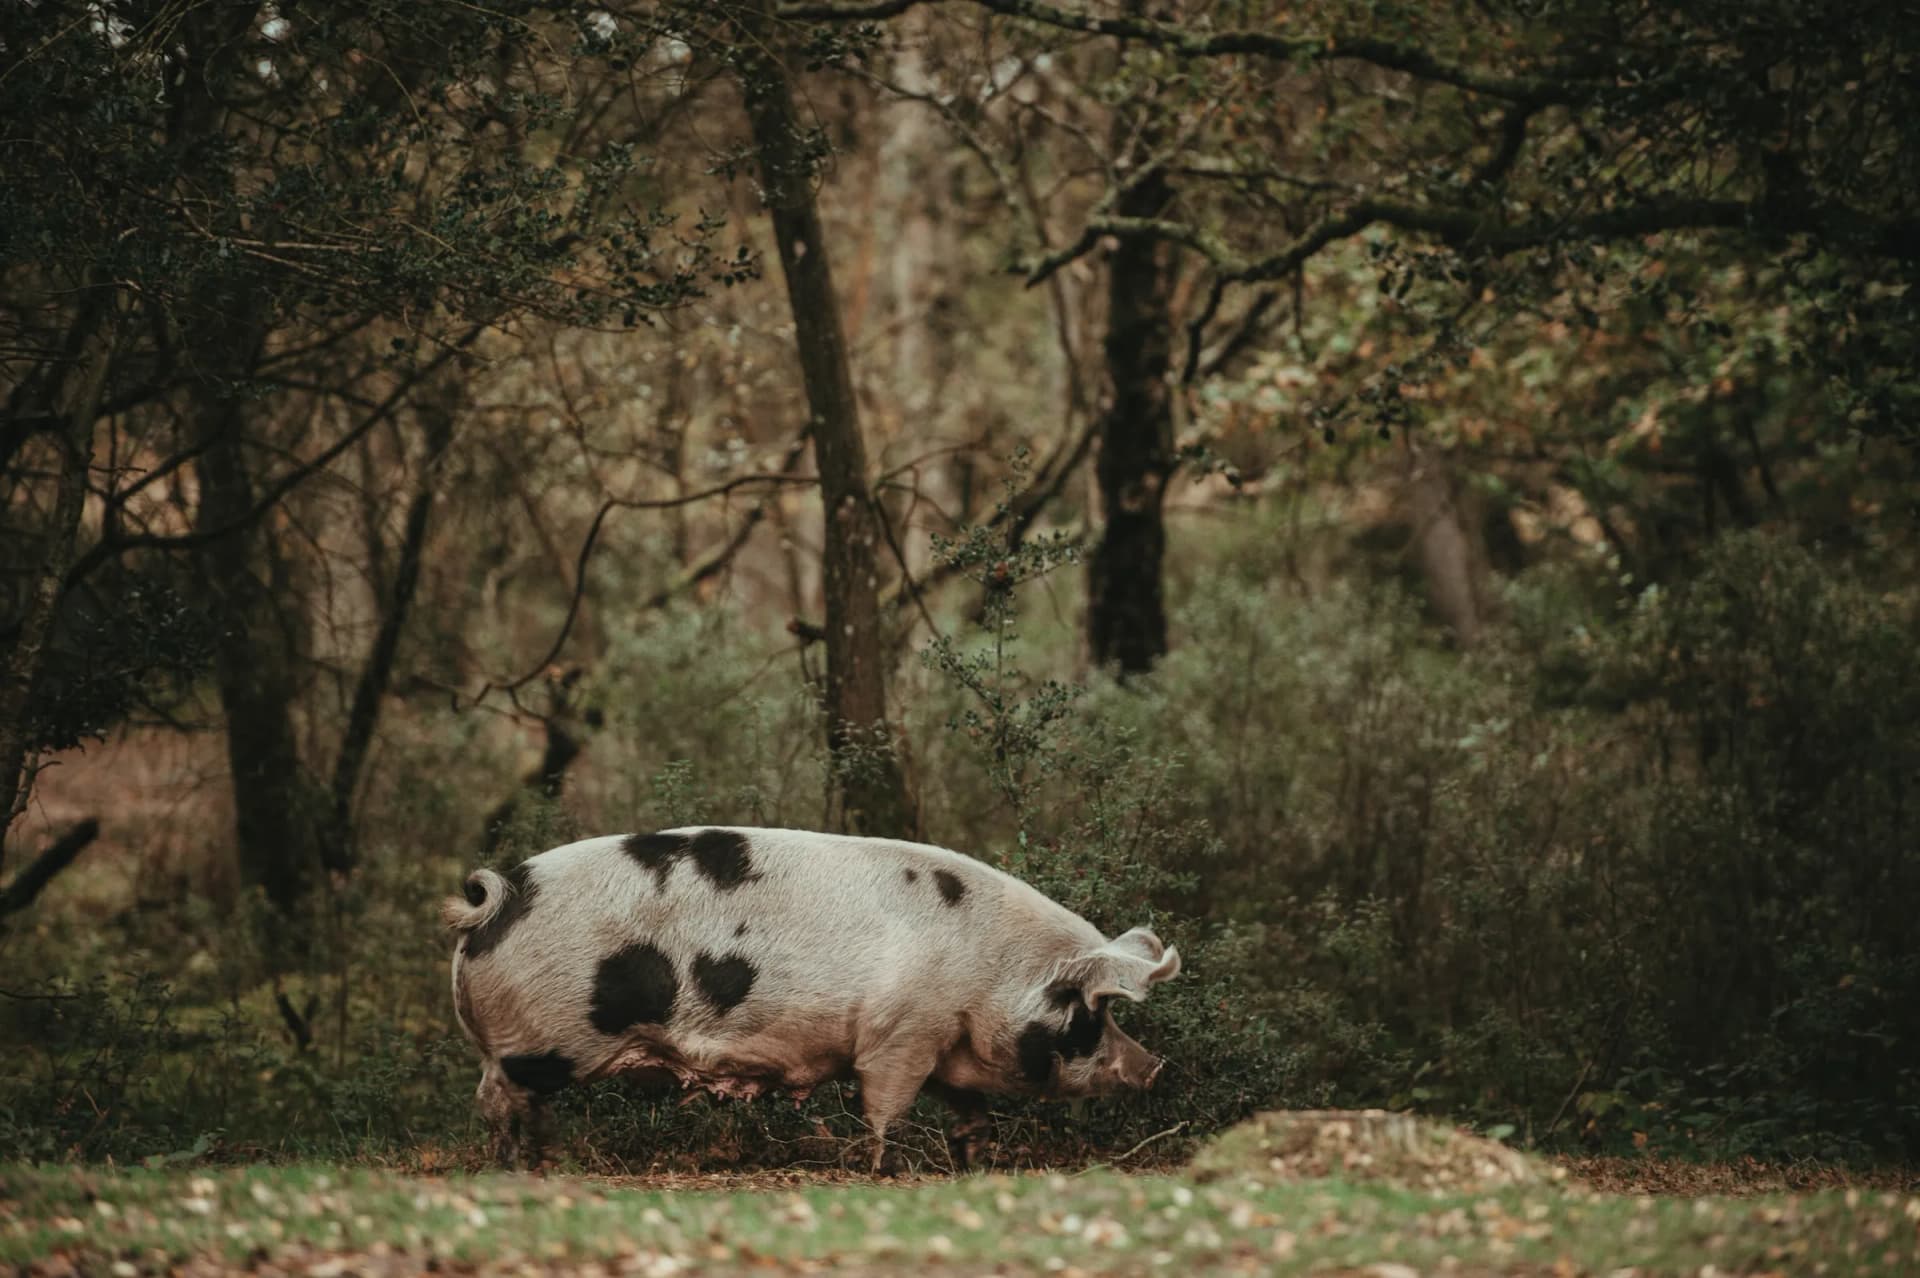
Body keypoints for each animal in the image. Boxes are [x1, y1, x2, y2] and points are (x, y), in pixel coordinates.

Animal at [442, 826, 1181, 1170]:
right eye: (1092, 1011)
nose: (1155, 1067)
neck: (991, 972)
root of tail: (494, 903)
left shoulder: (942, 1043)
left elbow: (971, 1112)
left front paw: (976, 1161)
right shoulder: (901, 1034)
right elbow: (884, 1107)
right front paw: (883, 1168)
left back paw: (544, 1162)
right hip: (536, 1044)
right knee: (494, 1100)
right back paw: (514, 1166)